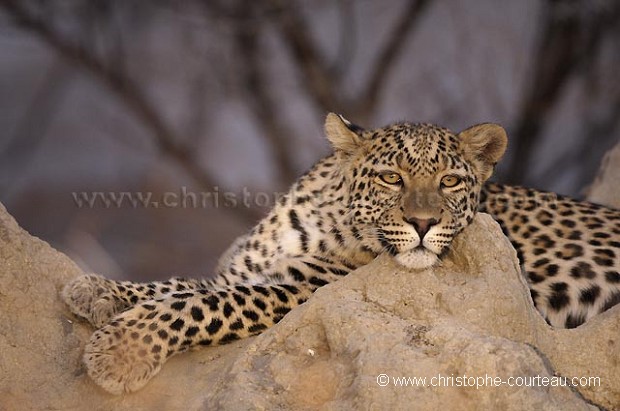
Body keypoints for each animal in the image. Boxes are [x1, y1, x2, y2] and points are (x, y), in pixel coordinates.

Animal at [63, 112, 620, 396]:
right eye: (392, 177)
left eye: (450, 181)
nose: (424, 223)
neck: (321, 220)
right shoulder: (245, 271)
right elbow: (184, 286)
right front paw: (95, 290)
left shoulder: (308, 291)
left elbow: (204, 305)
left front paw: (120, 352)